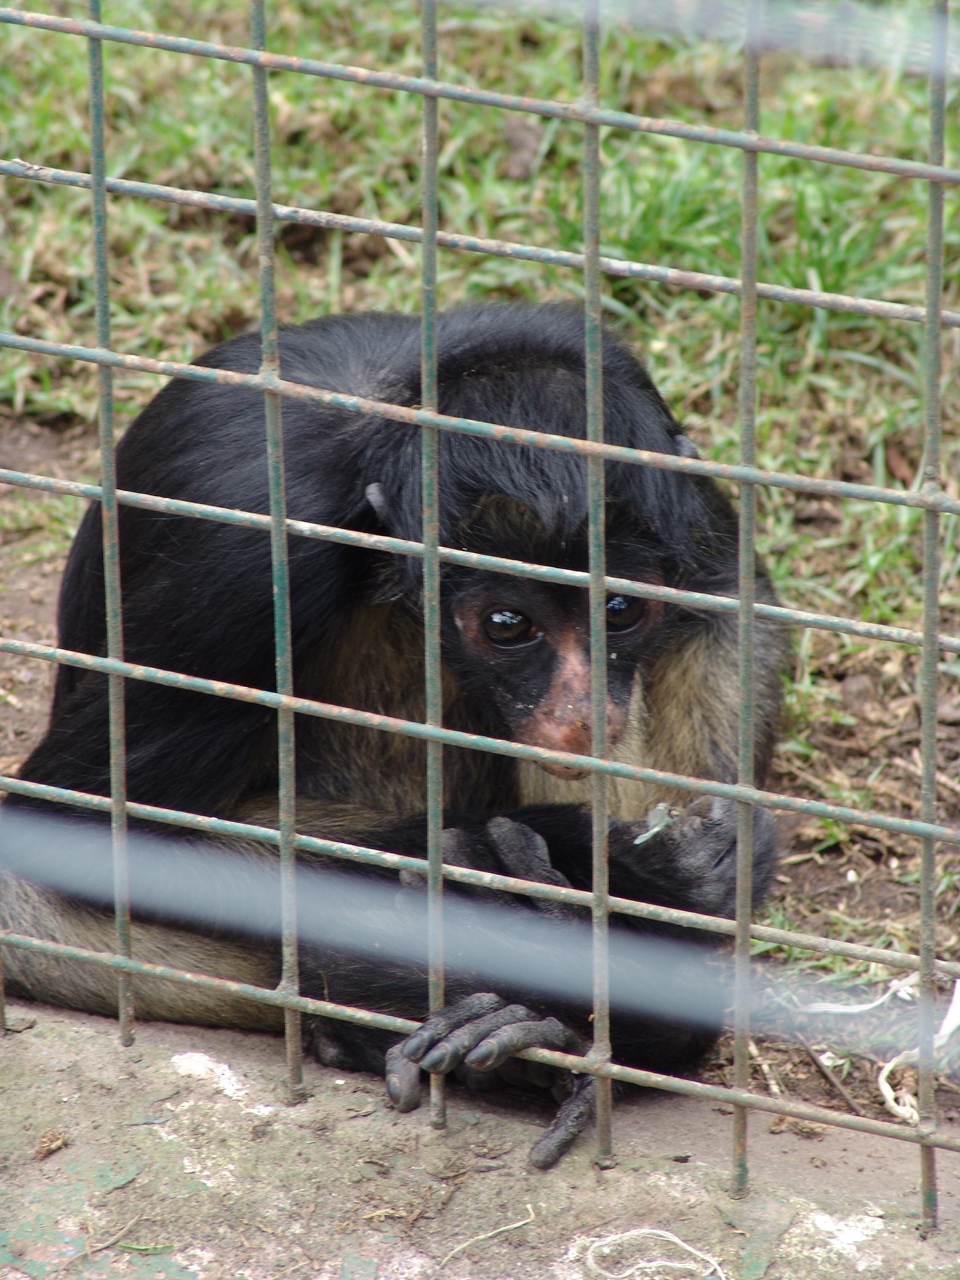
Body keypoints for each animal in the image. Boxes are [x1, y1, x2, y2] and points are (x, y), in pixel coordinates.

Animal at [0, 304, 789, 1166]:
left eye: (619, 611)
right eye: (508, 625)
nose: (583, 711)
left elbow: (725, 598)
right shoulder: (247, 556)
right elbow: (79, 836)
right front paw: (630, 867)